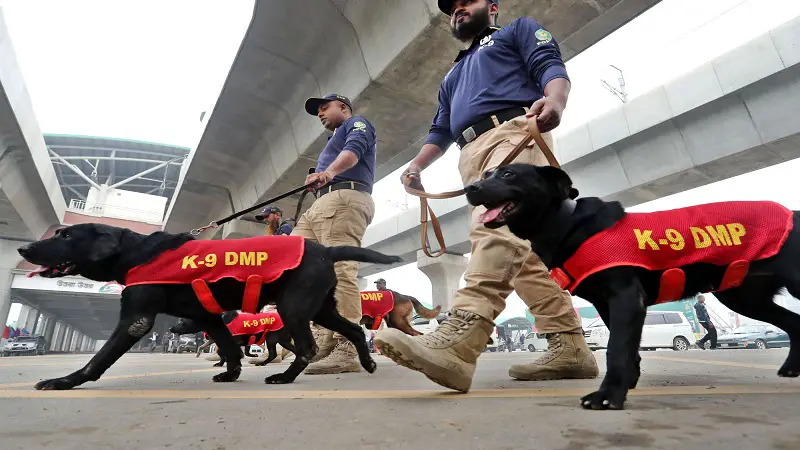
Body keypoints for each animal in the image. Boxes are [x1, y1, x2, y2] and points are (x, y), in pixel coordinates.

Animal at [17, 223, 406, 388]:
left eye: (67, 235)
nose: (22, 248)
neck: (135, 253)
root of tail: (326, 248)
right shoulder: (209, 317)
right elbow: (229, 348)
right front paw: (231, 374)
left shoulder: (136, 320)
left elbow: (98, 359)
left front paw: (65, 381)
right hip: (321, 309)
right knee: (354, 329)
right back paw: (368, 362)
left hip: (295, 308)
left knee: (308, 347)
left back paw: (284, 376)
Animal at [462, 164, 800, 412]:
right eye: (486, 174)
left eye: (508, 174)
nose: (470, 188)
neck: (565, 223)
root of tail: (793, 213)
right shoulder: (606, 304)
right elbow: (627, 348)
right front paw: (627, 382)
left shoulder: (626, 297)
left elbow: (616, 348)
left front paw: (608, 395)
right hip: (744, 297)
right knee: (794, 322)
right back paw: (791, 368)